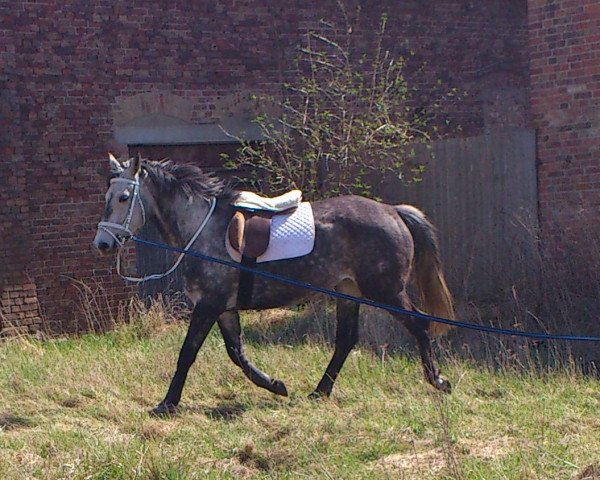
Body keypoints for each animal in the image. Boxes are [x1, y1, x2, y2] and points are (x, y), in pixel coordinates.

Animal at [92, 155, 454, 416]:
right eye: (107, 196)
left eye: (124, 197)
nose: (103, 244)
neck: (202, 228)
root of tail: (393, 212)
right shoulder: (223, 308)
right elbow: (237, 354)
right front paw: (276, 385)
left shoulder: (208, 305)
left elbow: (187, 353)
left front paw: (167, 403)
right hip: (348, 291)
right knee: (345, 341)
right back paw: (319, 391)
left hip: (386, 291)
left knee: (420, 325)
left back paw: (437, 380)